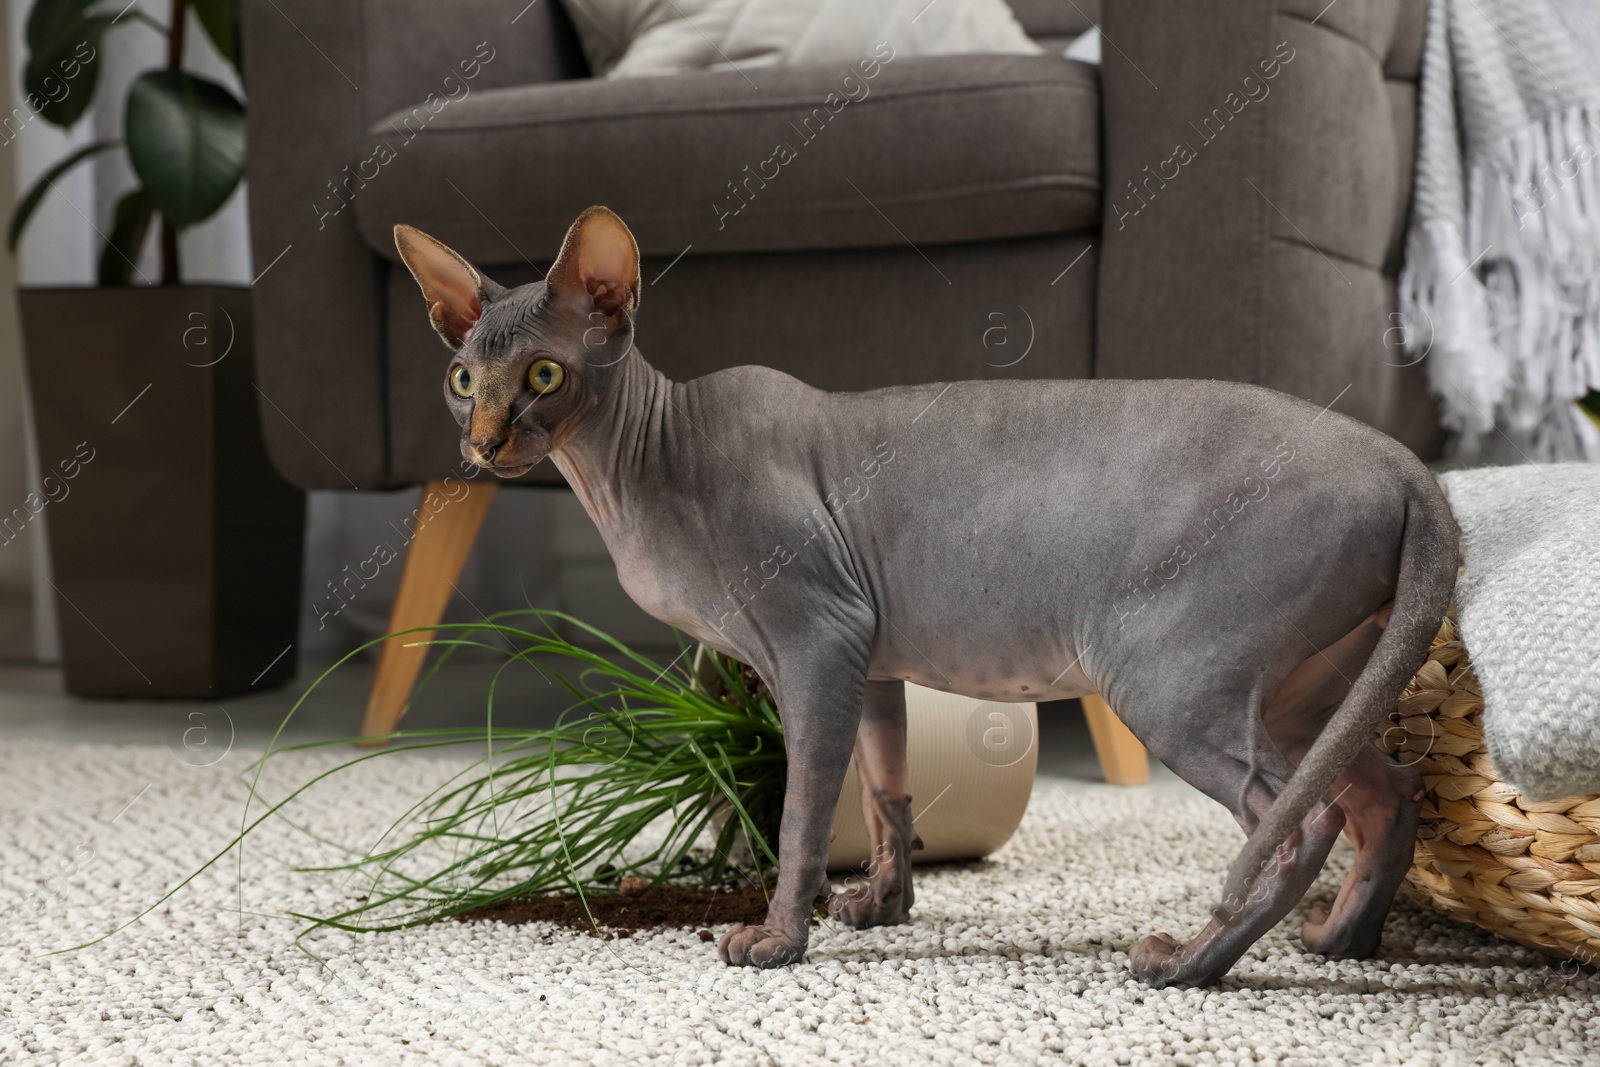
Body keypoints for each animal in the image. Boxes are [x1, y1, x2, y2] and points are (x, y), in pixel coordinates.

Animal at [393, 204, 1459, 991]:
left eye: (543, 373)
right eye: (462, 379)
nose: (482, 444)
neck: (633, 475)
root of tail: (1399, 459)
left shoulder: (817, 639)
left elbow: (803, 810)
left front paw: (777, 940)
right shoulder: (867, 652)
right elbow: (884, 784)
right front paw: (881, 906)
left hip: (1170, 677)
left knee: (1299, 823)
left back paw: (1190, 963)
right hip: (1304, 688)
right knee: (1383, 789)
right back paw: (1342, 939)